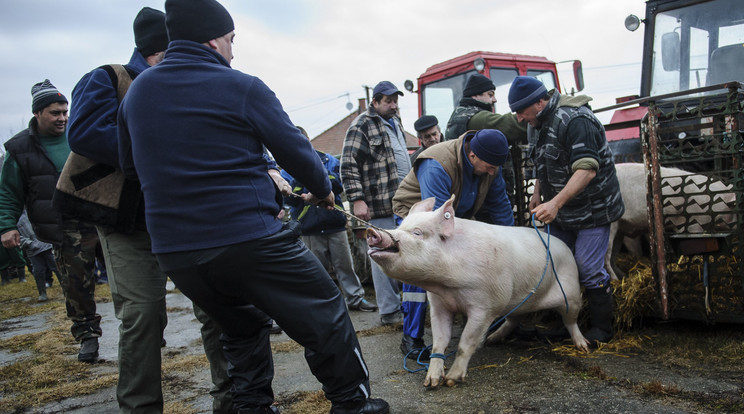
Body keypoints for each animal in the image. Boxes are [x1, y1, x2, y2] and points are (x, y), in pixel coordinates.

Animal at [364, 195, 588, 388]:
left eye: (417, 232)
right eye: (400, 226)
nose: (372, 233)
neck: (447, 286)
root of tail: (563, 246)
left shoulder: (486, 306)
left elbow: (465, 343)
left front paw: (451, 381)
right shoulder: (438, 304)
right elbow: (439, 342)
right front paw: (431, 382)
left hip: (571, 292)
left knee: (570, 320)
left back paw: (583, 346)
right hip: (516, 300)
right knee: (514, 319)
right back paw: (492, 339)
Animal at [604, 163, 740, 280]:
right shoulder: (692, 224)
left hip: (620, 230)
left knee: (612, 257)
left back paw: (624, 276)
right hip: (610, 227)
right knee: (605, 258)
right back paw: (616, 280)